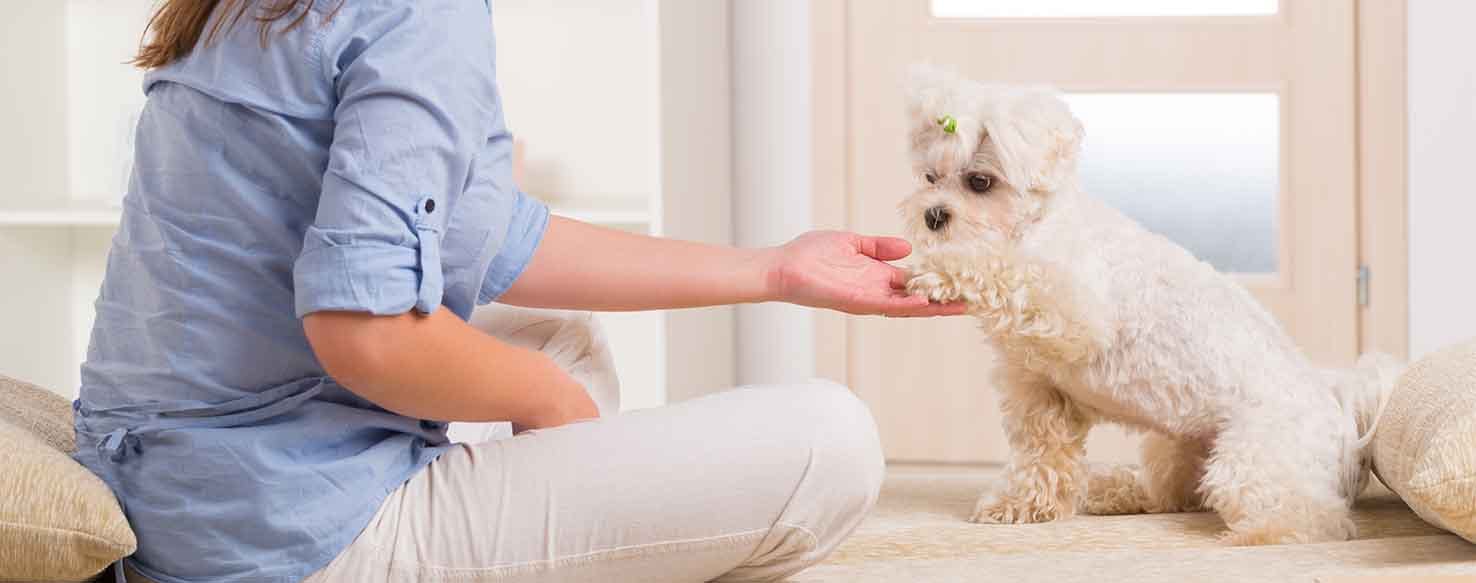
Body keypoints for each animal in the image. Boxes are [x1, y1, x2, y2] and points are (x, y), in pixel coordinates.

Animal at [897, 66, 1393, 546]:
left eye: (979, 182)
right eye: (929, 178)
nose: (932, 215)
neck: (1036, 227)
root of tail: (1336, 406)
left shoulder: (1071, 308)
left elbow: (1005, 271)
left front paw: (939, 273)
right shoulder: (1038, 388)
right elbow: (1042, 455)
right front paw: (1021, 506)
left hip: (1248, 457)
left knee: (1315, 517)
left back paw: (1256, 534)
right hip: (1178, 447)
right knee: (1174, 494)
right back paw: (1116, 491)